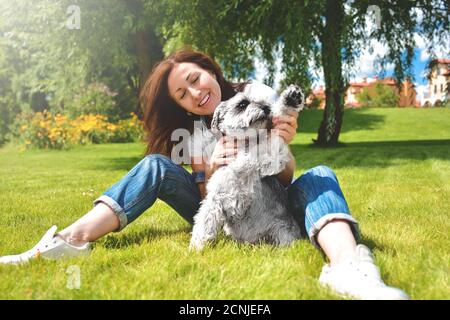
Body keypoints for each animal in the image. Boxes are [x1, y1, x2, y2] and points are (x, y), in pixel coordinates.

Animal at [190, 84, 306, 250]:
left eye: (264, 102)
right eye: (242, 104)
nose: (266, 108)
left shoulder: (271, 157)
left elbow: (270, 142)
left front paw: (290, 99)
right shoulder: (215, 199)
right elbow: (205, 222)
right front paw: (197, 246)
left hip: (282, 230)